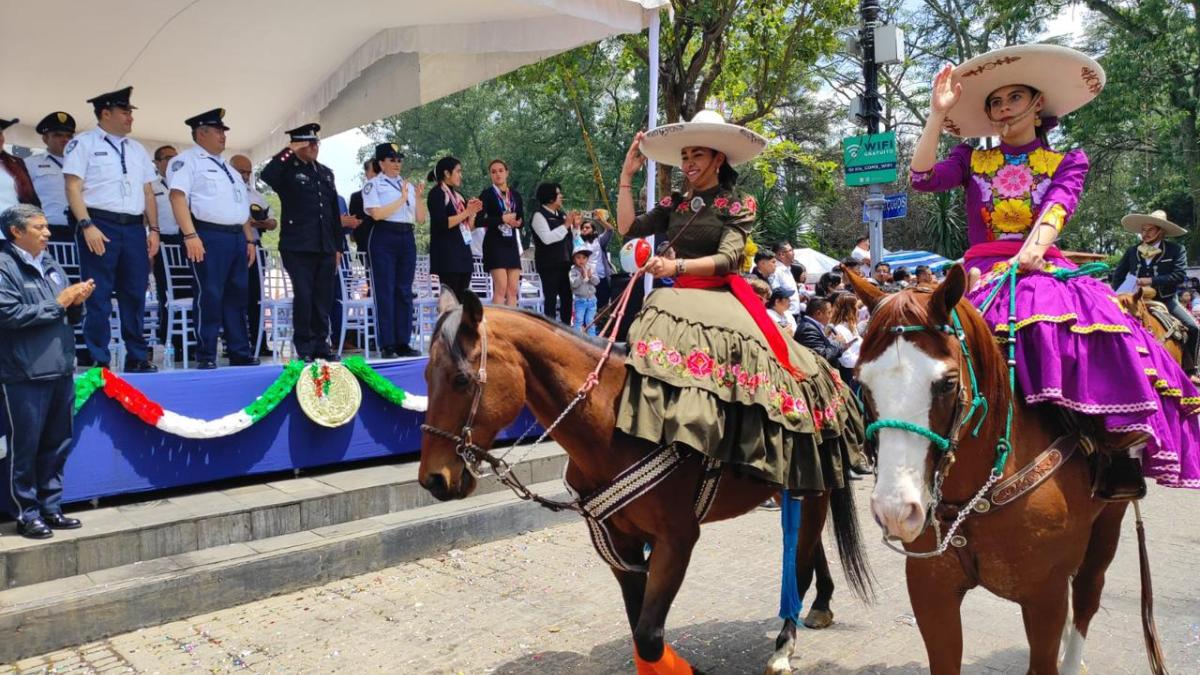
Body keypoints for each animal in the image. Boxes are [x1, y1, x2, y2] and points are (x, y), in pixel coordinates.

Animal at [417, 289, 868, 672]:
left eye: (460, 379)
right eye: (424, 377)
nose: (433, 479)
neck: (612, 422)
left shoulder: (677, 539)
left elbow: (649, 636)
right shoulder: (620, 543)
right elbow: (639, 631)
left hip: (814, 488)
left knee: (801, 563)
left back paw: (784, 644)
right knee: (809, 550)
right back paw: (820, 605)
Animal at [844, 266, 1161, 672]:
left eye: (947, 383)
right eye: (861, 381)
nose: (896, 510)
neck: (975, 497)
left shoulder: (1045, 599)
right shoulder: (931, 592)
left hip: (1110, 519)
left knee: (1088, 591)